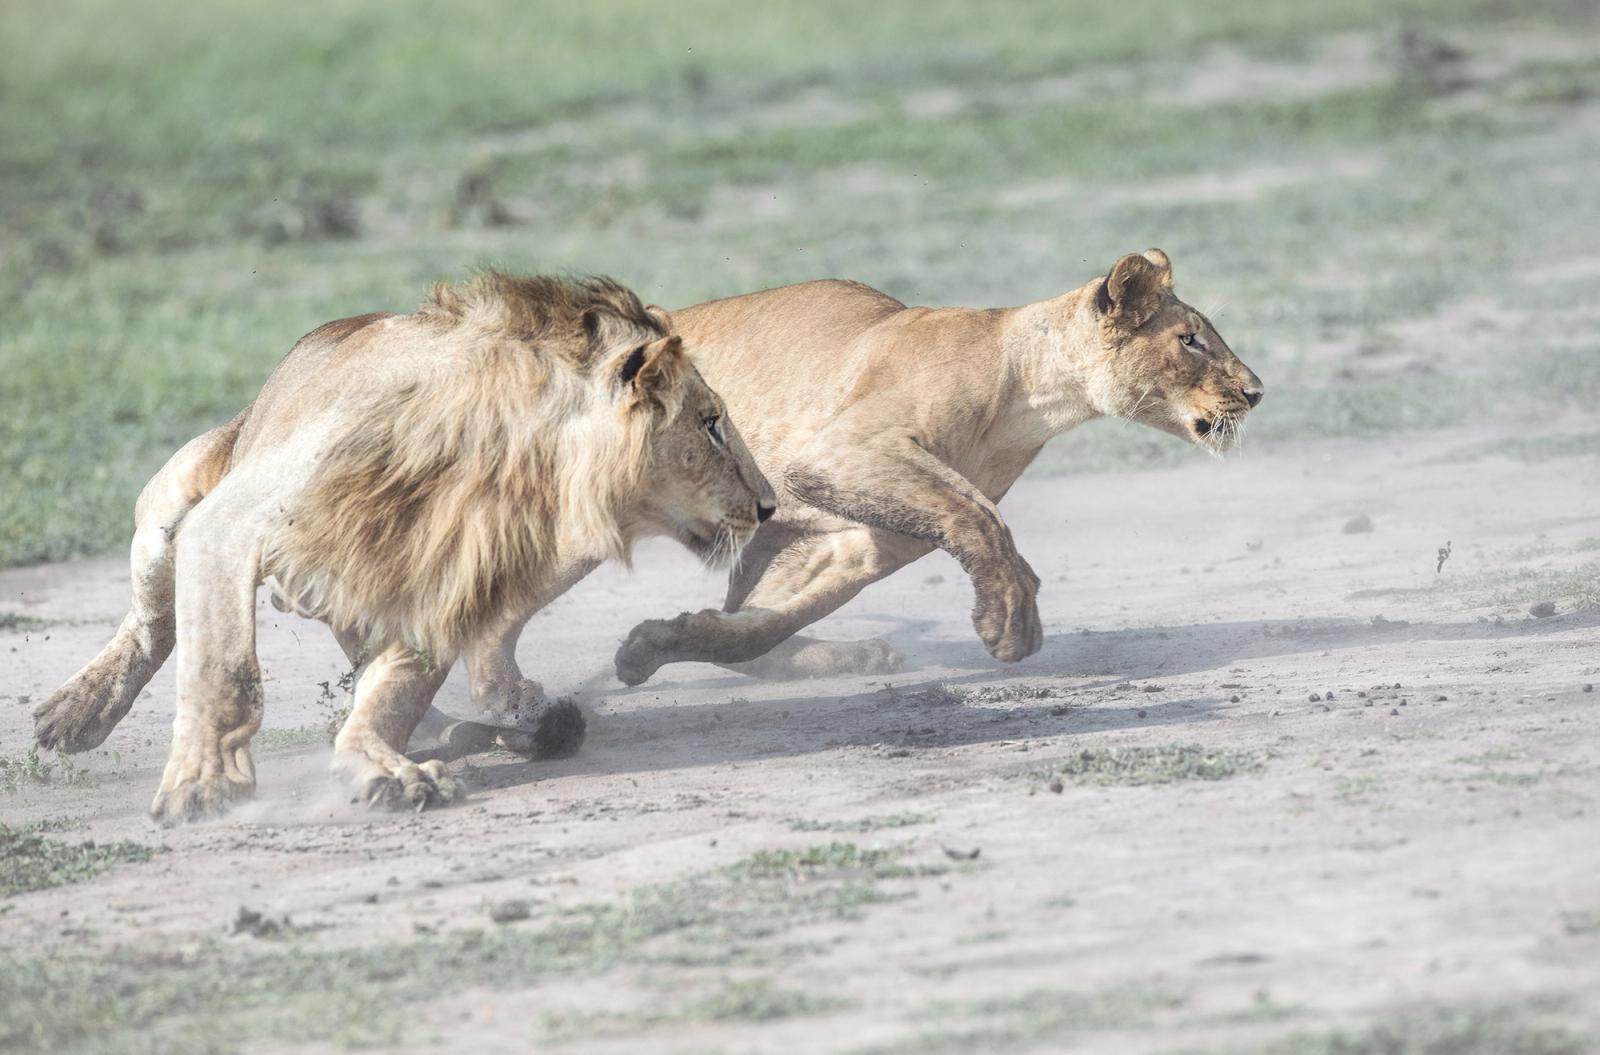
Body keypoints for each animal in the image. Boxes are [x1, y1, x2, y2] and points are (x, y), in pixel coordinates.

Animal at [33, 272, 775, 823]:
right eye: (710, 424)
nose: (769, 505)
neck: (502, 462)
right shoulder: (230, 522)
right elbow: (225, 670)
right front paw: (204, 783)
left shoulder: (444, 575)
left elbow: (397, 688)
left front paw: (380, 764)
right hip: (181, 489)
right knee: (151, 618)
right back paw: (76, 712)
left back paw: (505, 714)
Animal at [456, 249, 1263, 721]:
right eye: (1191, 339)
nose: (1256, 392)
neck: (1031, 394)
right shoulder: (838, 453)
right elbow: (984, 521)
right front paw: (1011, 619)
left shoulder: (869, 535)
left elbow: (765, 627)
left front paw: (655, 644)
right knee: (488, 608)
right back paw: (501, 698)